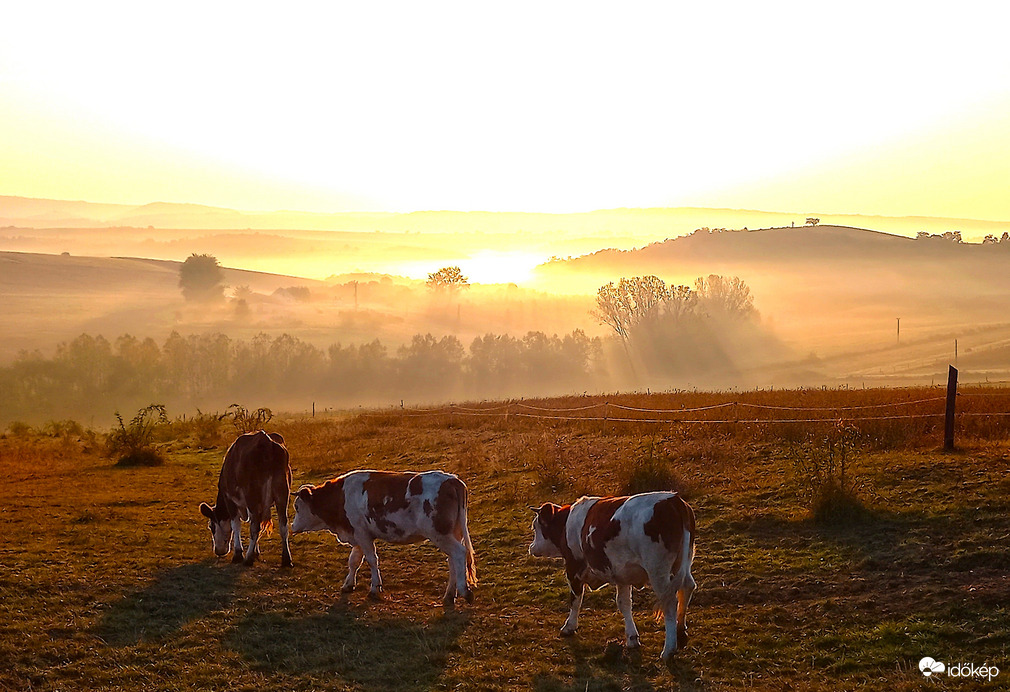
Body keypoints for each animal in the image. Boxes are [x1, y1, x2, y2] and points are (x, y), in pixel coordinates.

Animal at [196, 432, 292, 565]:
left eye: (211, 526)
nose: (218, 551)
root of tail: (266, 441)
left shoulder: (230, 500)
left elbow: (236, 525)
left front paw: (238, 554)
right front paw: (256, 552)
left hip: (252, 496)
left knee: (255, 527)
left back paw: (248, 559)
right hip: (282, 494)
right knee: (283, 525)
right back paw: (286, 559)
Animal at [292, 468, 476, 606]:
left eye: (297, 507)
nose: (293, 526)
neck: (341, 496)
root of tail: (452, 480)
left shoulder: (362, 534)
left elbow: (372, 560)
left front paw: (375, 587)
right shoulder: (358, 534)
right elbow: (354, 561)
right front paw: (348, 585)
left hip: (440, 533)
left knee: (459, 553)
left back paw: (464, 591)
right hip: (452, 533)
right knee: (453, 560)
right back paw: (450, 594)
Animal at [529, 490, 694, 658]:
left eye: (536, 527)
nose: (531, 547)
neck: (567, 524)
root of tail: (673, 499)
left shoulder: (573, 567)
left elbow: (575, 599)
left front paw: (569, 626)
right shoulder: (622, 574)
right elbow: (624, 603)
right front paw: (632, 638)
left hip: (657, 570)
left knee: (669, 602)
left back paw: (668, 649)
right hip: (685, 562)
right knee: (687, 587)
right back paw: (681, 632)